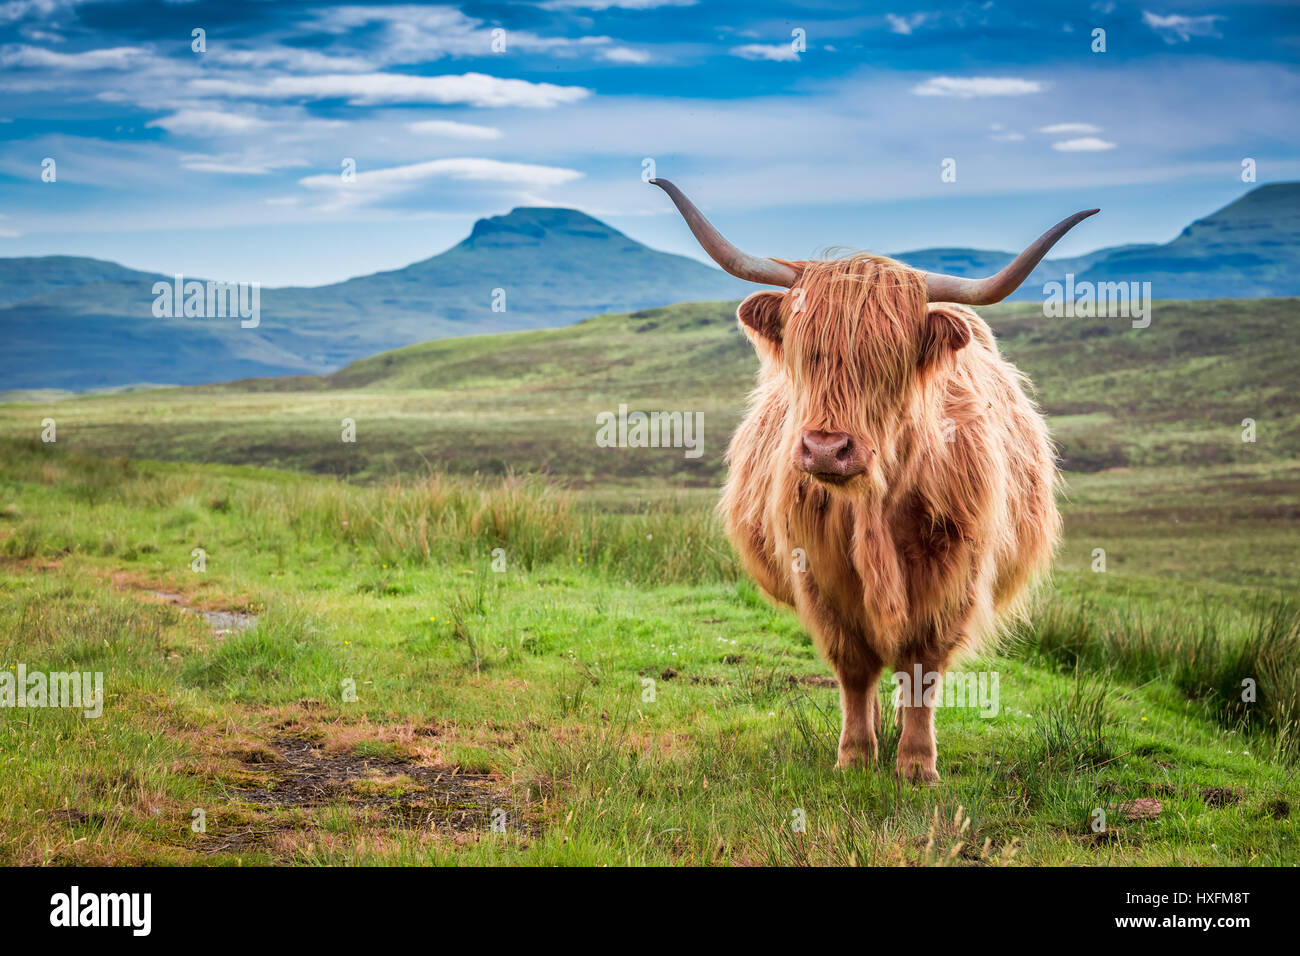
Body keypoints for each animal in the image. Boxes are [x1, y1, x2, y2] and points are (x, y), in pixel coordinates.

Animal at [651, 179, 1096, 782]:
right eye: (804, 353)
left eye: (889, 359)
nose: (826, 448)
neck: (874, 506)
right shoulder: (818, 575)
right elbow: (855, 668)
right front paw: (857, 755)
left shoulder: (952, 576)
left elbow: (922, 667)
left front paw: (917, 764)